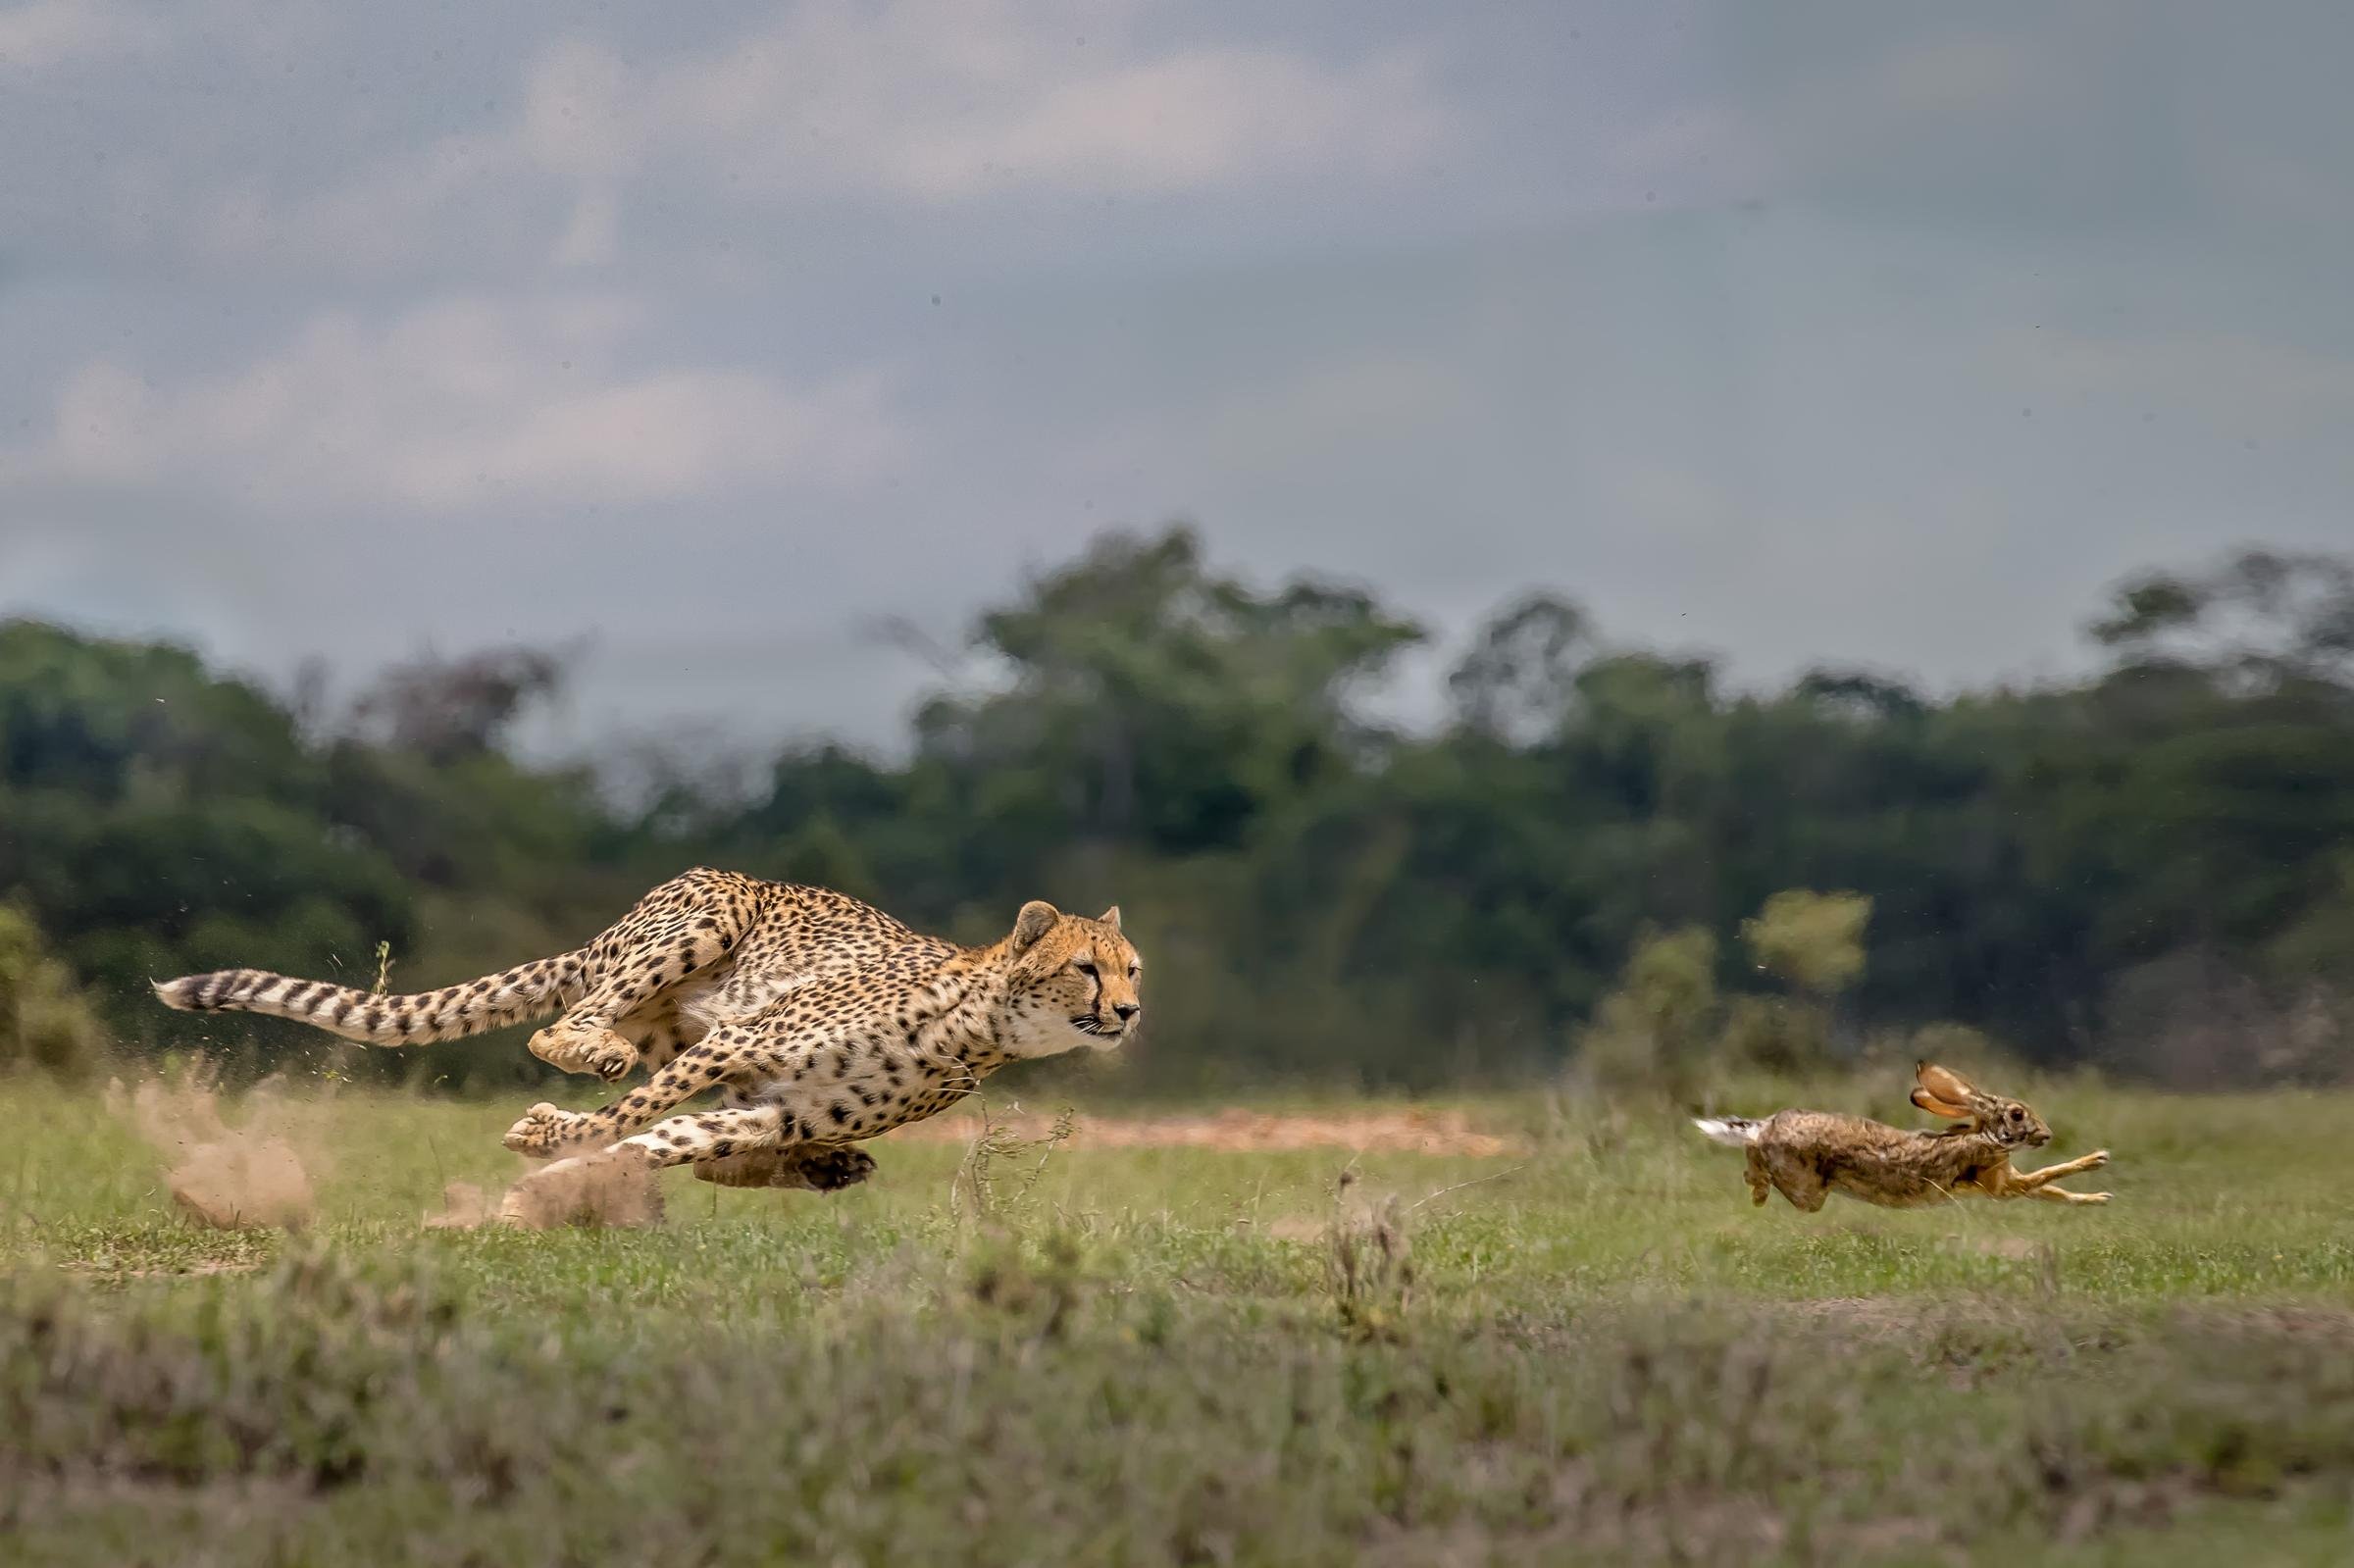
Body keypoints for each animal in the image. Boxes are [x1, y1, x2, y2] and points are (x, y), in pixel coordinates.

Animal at [151, 866, 1144, 1187]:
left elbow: (668, 1137)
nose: (1131, 1012)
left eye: (1133, 968)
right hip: (706, 917)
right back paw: (593, 1050)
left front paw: (572, 1167)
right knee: (558, 1033)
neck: (980, 1023)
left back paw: (828, 1167)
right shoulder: (743, 1044)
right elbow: (631, 1117)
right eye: (1086, 967)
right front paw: (550, 1139)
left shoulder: (772, 1105)